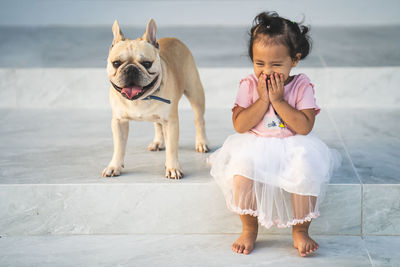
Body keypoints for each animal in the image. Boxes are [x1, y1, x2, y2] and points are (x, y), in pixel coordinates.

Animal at [102, 17, 209, 179]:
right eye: (116, 63)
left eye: (147, 63)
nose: (131, 69)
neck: (140, 99)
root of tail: (173, 38)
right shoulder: (119, 122)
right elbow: (119, 147)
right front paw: (114, 166)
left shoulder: (171, 122)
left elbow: (172, 148)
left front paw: (173, 168)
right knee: (157, 124)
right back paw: (158, 142)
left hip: (195, 93)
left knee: (199, 120)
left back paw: (202, 143)